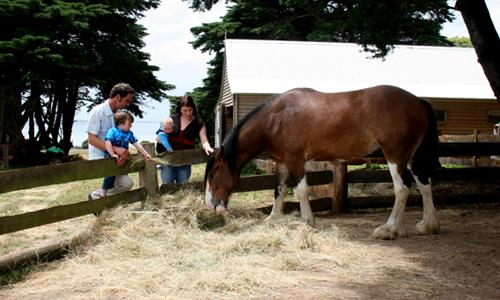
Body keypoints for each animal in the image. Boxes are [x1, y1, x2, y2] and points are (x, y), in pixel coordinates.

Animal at [205, 84, 440, 239]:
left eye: (214, 172)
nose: (210, 205)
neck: (276, 118)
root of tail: (418, 101)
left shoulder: (295, 160)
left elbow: (300, 190)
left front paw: (308, 222)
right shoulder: (282, 162)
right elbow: (279, 189)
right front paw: (273, 218)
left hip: (394, 155)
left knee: (402, 188)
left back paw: (388, 229)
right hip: (411, 157)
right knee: (423, 184)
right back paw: (427, 226)